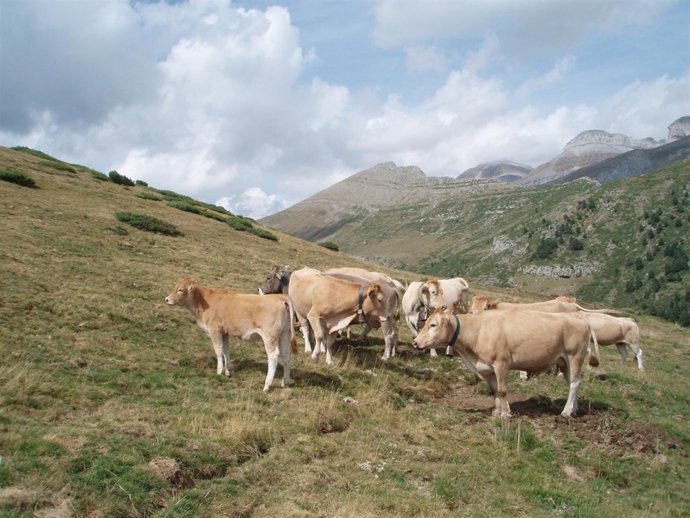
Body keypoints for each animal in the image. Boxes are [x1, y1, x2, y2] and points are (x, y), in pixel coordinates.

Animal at [165, 278, 296, 393]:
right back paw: (285, 382)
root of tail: (280, 297)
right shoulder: (225, 332)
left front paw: (219, 372)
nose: (166, 299)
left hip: (269, 336)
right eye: (175, 287)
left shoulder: (215, 330)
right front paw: (228, 371)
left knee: (273, 356)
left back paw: (267, 386)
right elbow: (226, 350)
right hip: (284, 333)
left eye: (181, 289)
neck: (204, 301)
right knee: (286, 354)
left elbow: (218, 351)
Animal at [413, 308, 599, 418]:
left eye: (433, 325)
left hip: (574, 357)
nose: (415, 342)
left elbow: (502, 390)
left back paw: (566, 411)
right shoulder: (487, 368)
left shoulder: (501, 363)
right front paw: (497, 411)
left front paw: (505, 414)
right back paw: (574, 409)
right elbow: (494, 390)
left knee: (574, 384)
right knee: (575, 383)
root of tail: (582, 321)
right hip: (564, 362)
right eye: (426, 322)